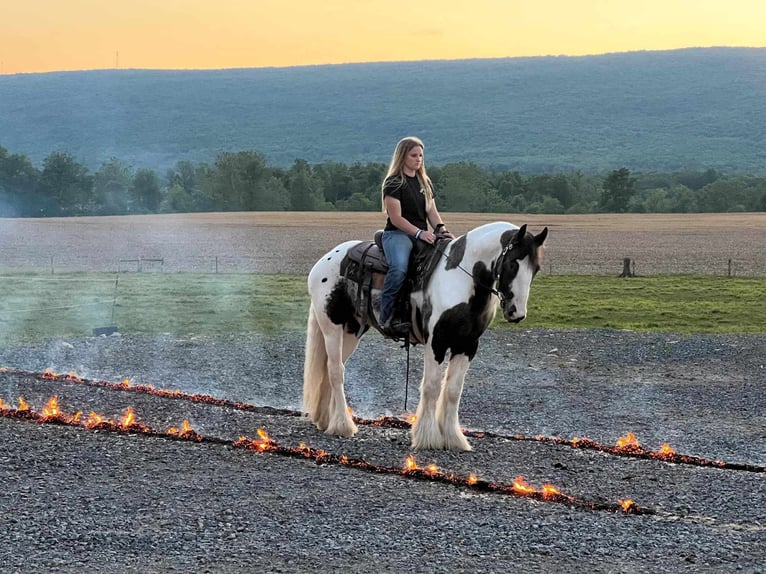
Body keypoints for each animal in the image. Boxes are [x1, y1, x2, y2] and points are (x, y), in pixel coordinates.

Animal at [304, 223, 548, 452]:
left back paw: (325, 420)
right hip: (332, 327)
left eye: (536, 268)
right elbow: (431, 387)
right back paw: (342, 425)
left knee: (329, 367)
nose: (516, 313)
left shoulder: (467, 345)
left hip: (352, 331)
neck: (461, 277)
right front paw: (428, 437)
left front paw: (453, 438)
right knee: (335, 371)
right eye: (512, 264)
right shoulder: (436, 342)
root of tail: (326, 259)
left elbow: (453, 390)